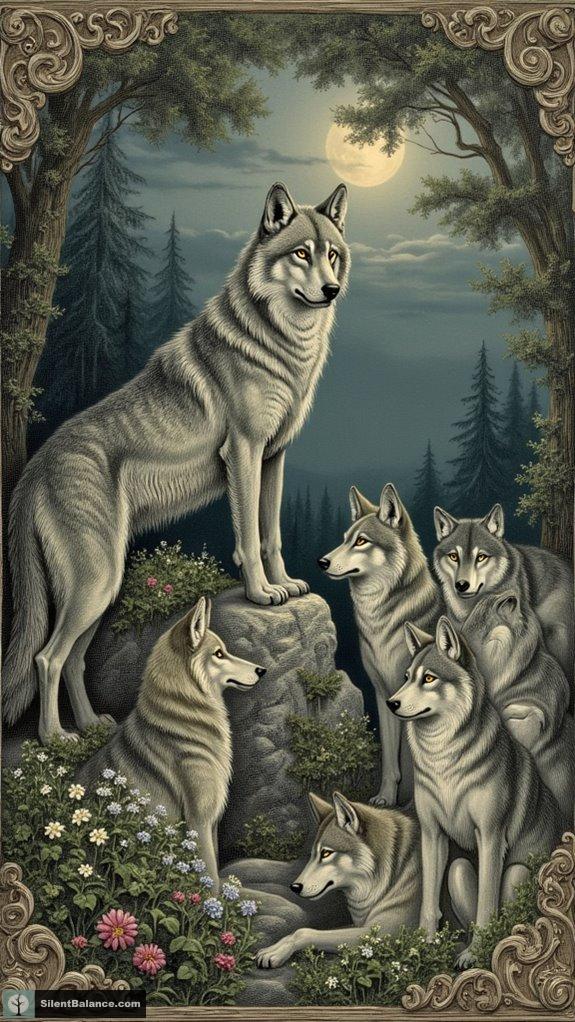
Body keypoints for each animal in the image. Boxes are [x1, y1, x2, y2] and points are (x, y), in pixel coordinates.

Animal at [4, 181, 350, 743]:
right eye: (301, 254)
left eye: (332, 255)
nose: (331, 289)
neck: (282, 344)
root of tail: (32, 469)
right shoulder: (244, 452)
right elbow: (248, 538)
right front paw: (261, 592)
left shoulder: (274, 456)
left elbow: (272, 533)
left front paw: (287, 584)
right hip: (96, 583)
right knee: (46, 658)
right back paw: (55, 737)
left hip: (103, 587)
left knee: (74, 659)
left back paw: (93, 726)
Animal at [76, 597, 265, 891]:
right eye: (219, 654)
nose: (261, 670)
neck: (187, 714)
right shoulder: (199, 818)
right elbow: (209, 871)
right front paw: (214, 900)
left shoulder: (212, 821)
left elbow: (213, 862)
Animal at [256, 790, 421, 968]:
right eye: (313, 854)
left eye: (326, 853)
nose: (294, 887)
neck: (393, 874)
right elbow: (296, 931)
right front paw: (272, 948)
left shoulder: (384, 933)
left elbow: (303, 932)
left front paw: (277, 952)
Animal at [318, 483, 441, 806]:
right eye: (345, 539)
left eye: (361, 541)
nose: (322, 562)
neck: (381, 623)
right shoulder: (385, 695)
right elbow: (390, 760)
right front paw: (386, 797)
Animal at [388, 616, 563, 967]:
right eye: (406, 678)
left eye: (429, 678)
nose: (391, 703)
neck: (443, 759)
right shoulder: (432, 833)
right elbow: (428, 901)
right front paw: (423, 944)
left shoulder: (491, 836)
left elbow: (486, 906)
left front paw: (477, 954)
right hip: (457, 870)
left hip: (518, 872)